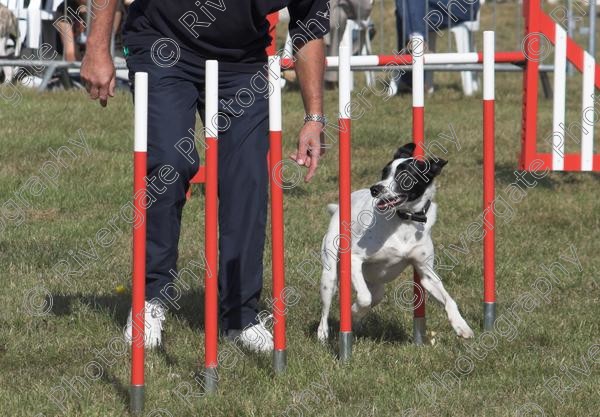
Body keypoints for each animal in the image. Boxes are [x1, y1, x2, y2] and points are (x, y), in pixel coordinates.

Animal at [316, 143, 476, 342]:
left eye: (404, 176)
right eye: (384, 173)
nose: (375, 189)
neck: (405, 220)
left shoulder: (426, 273)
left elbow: (449, 300)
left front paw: (462, 326)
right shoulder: (354, 258)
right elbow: (364, 299)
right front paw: (354, 310)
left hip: (377, 287)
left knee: (374, 296)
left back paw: (357, 325)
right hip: (330, 275)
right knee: (327, 308)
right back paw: (323, 333)